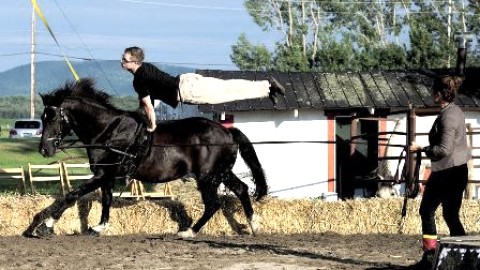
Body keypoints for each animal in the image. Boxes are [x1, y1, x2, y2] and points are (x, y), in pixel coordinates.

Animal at [22, 78, 268, 238]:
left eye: (53, 118)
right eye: (43, 117)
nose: (44, 150)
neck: (108, 130)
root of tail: (227, 131)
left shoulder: (102, 173)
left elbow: (72, 195)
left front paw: (45, 226)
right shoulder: (108, 175)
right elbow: (106, 199)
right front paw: (100, 227)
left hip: (207, 176)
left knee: (213, 203)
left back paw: (189, 232)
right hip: (221, 172)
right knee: (242, 189)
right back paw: (254, 225)